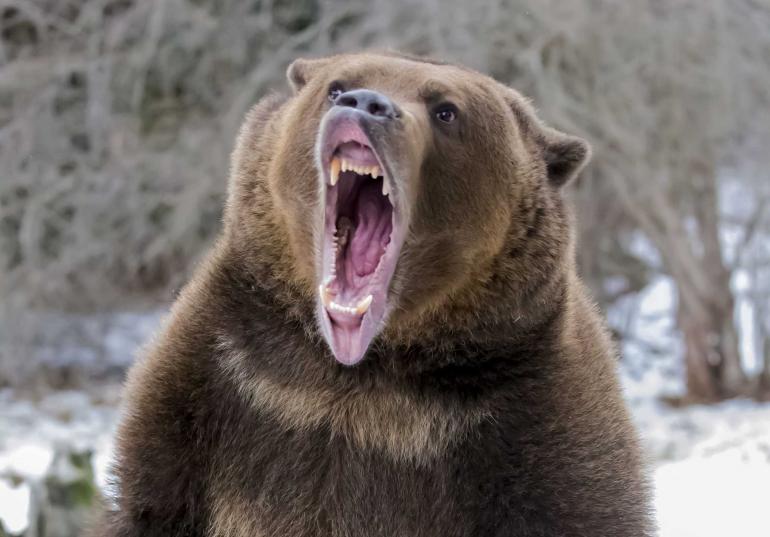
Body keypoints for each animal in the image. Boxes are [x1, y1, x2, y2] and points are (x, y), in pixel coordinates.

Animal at [92, 51, 653, 536]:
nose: (365, 103)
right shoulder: (219, 387)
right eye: (335, 85)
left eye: (446, 109)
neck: (363, 370)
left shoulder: (533, 420)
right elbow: (150, 501)